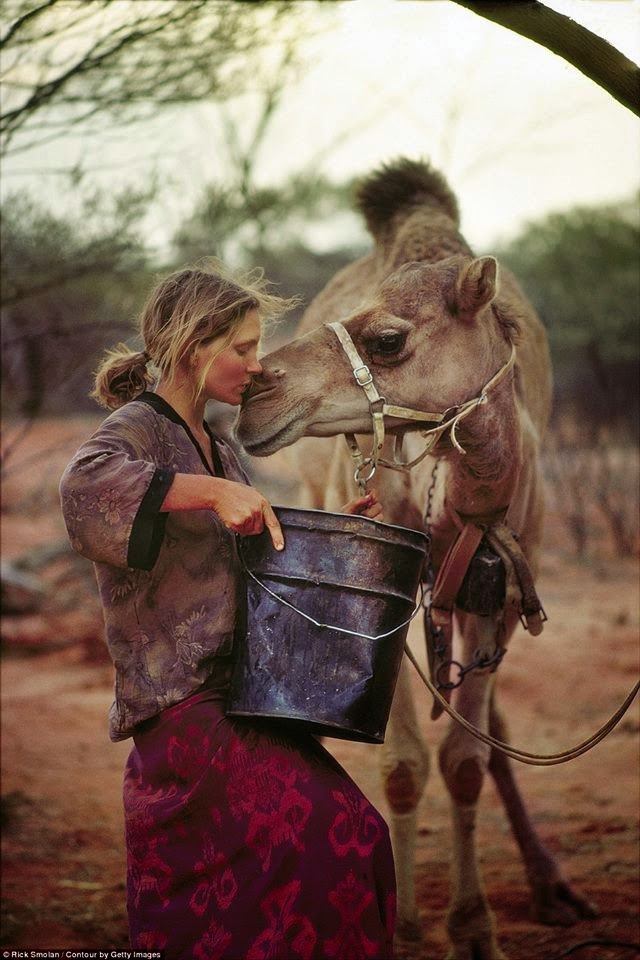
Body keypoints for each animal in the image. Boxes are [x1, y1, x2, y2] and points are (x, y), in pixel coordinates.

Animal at [234, 159, 596, 960]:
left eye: (389, 339)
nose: (251, 396)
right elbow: (402, 766)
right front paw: (400, 930)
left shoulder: (499, 591)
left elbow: (465, 760)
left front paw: (476, 929)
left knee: (489, 734)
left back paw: (554, 887)